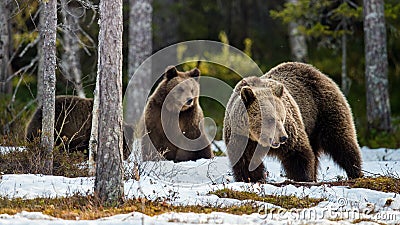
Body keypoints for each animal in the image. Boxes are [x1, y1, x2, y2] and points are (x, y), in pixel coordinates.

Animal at [223, 61, 364, 183]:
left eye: (282, 118)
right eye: (270, 119)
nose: (283, 138)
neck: (255, 137)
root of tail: (318, 71)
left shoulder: (291, 129)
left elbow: (298, 154)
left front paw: (304, 178)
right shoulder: (241, 138)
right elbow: (245, 162)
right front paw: (251, 179)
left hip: (324, 109)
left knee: (341, 141)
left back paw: (356, 172)